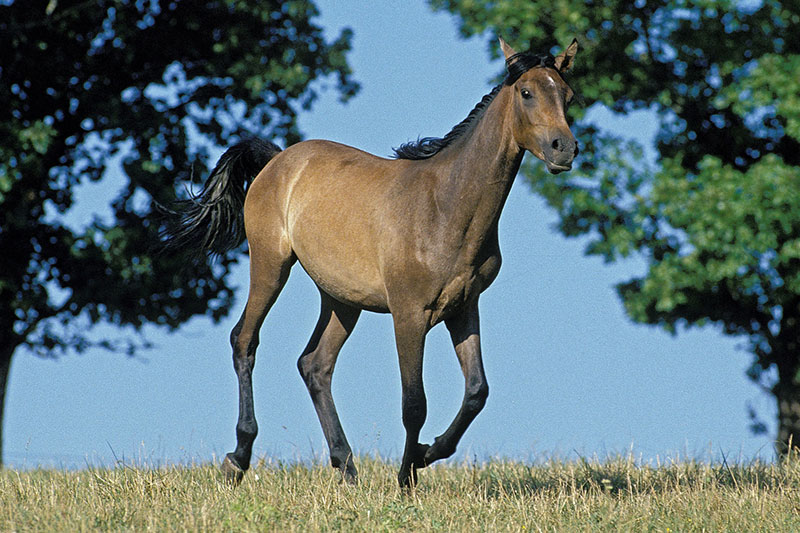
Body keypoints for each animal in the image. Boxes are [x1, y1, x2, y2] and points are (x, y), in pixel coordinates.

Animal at [163, 38, 579, 487]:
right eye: (527, 92)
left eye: (568, 95)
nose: (564, 149)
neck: (445, 207)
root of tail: (277, 160)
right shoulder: (410, 313)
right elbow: (414, 402)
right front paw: (407, 477)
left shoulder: (464, 307)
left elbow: (476, 392)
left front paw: (428, 453)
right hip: (271, 266)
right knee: (245, 340)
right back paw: (238, 459)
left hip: (341, 299)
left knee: (315, 365)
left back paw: (346, 467)